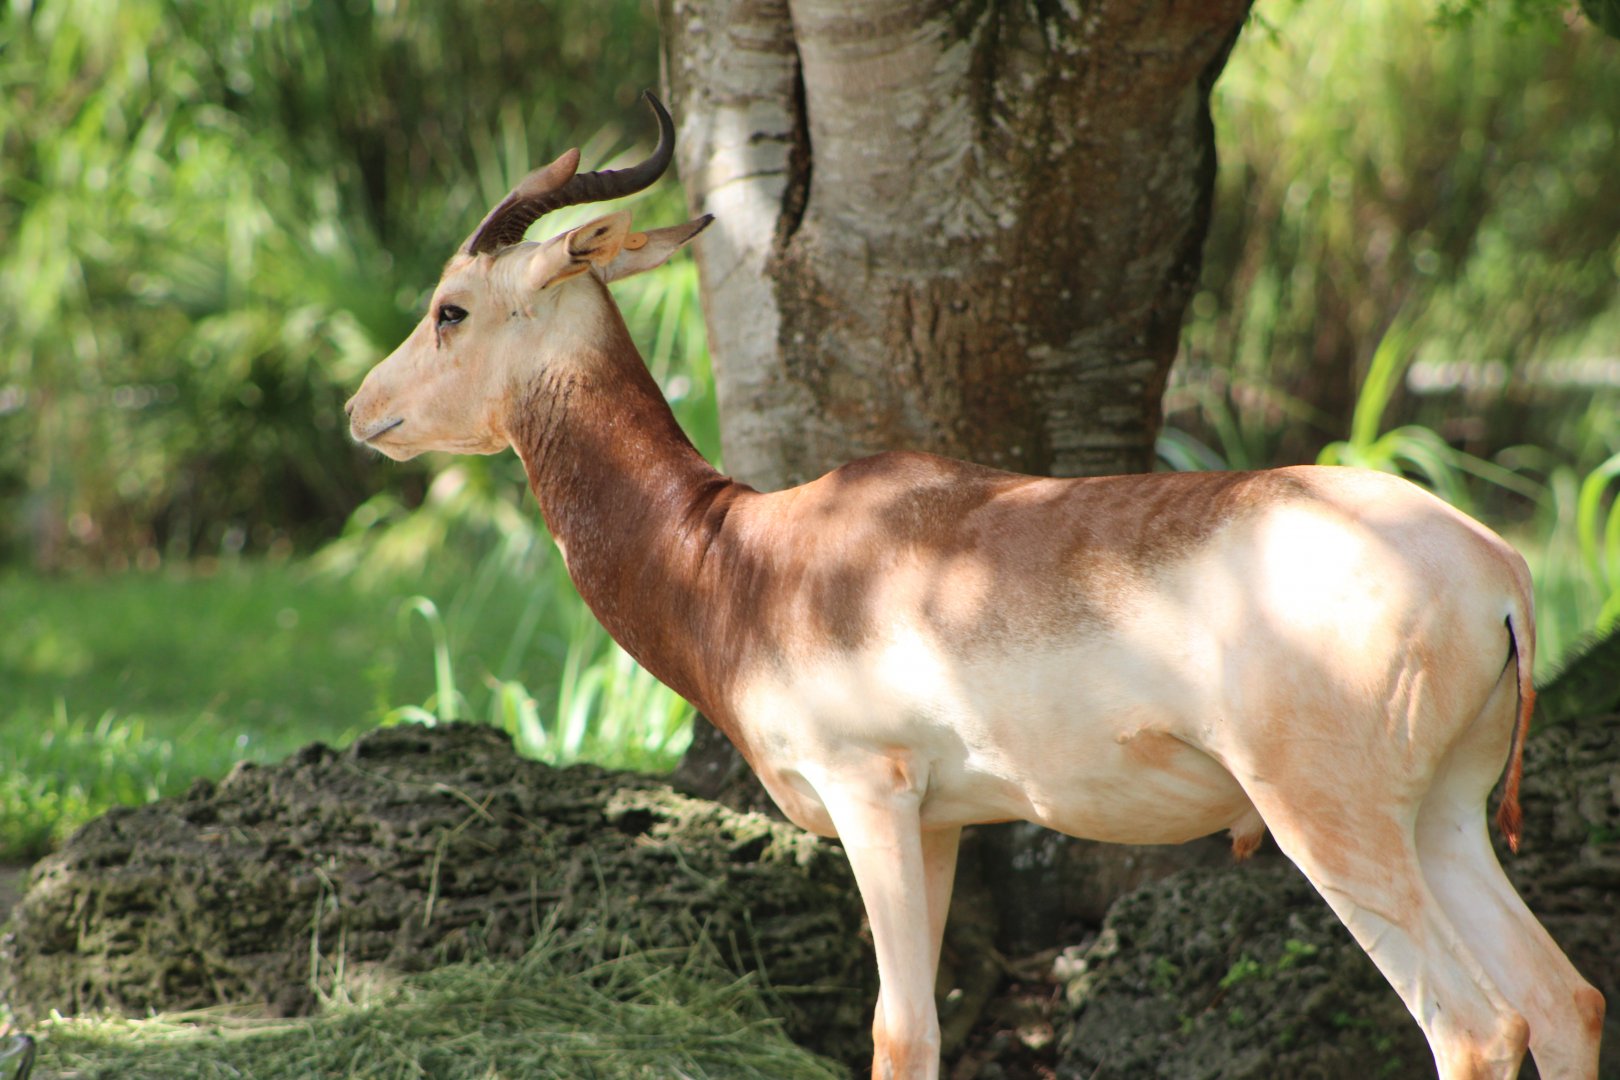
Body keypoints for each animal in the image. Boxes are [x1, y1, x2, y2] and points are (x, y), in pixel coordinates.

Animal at [345, 93, 1603, 1079]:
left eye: (452, 306)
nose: (362, 410)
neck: (741, 555)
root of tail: (1497, 572)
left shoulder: (869, 798)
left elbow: (900, 1037)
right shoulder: (942, 823)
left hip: (1332, 826)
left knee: (1475, 1029)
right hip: (1443, 818)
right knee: (1565, 1002)